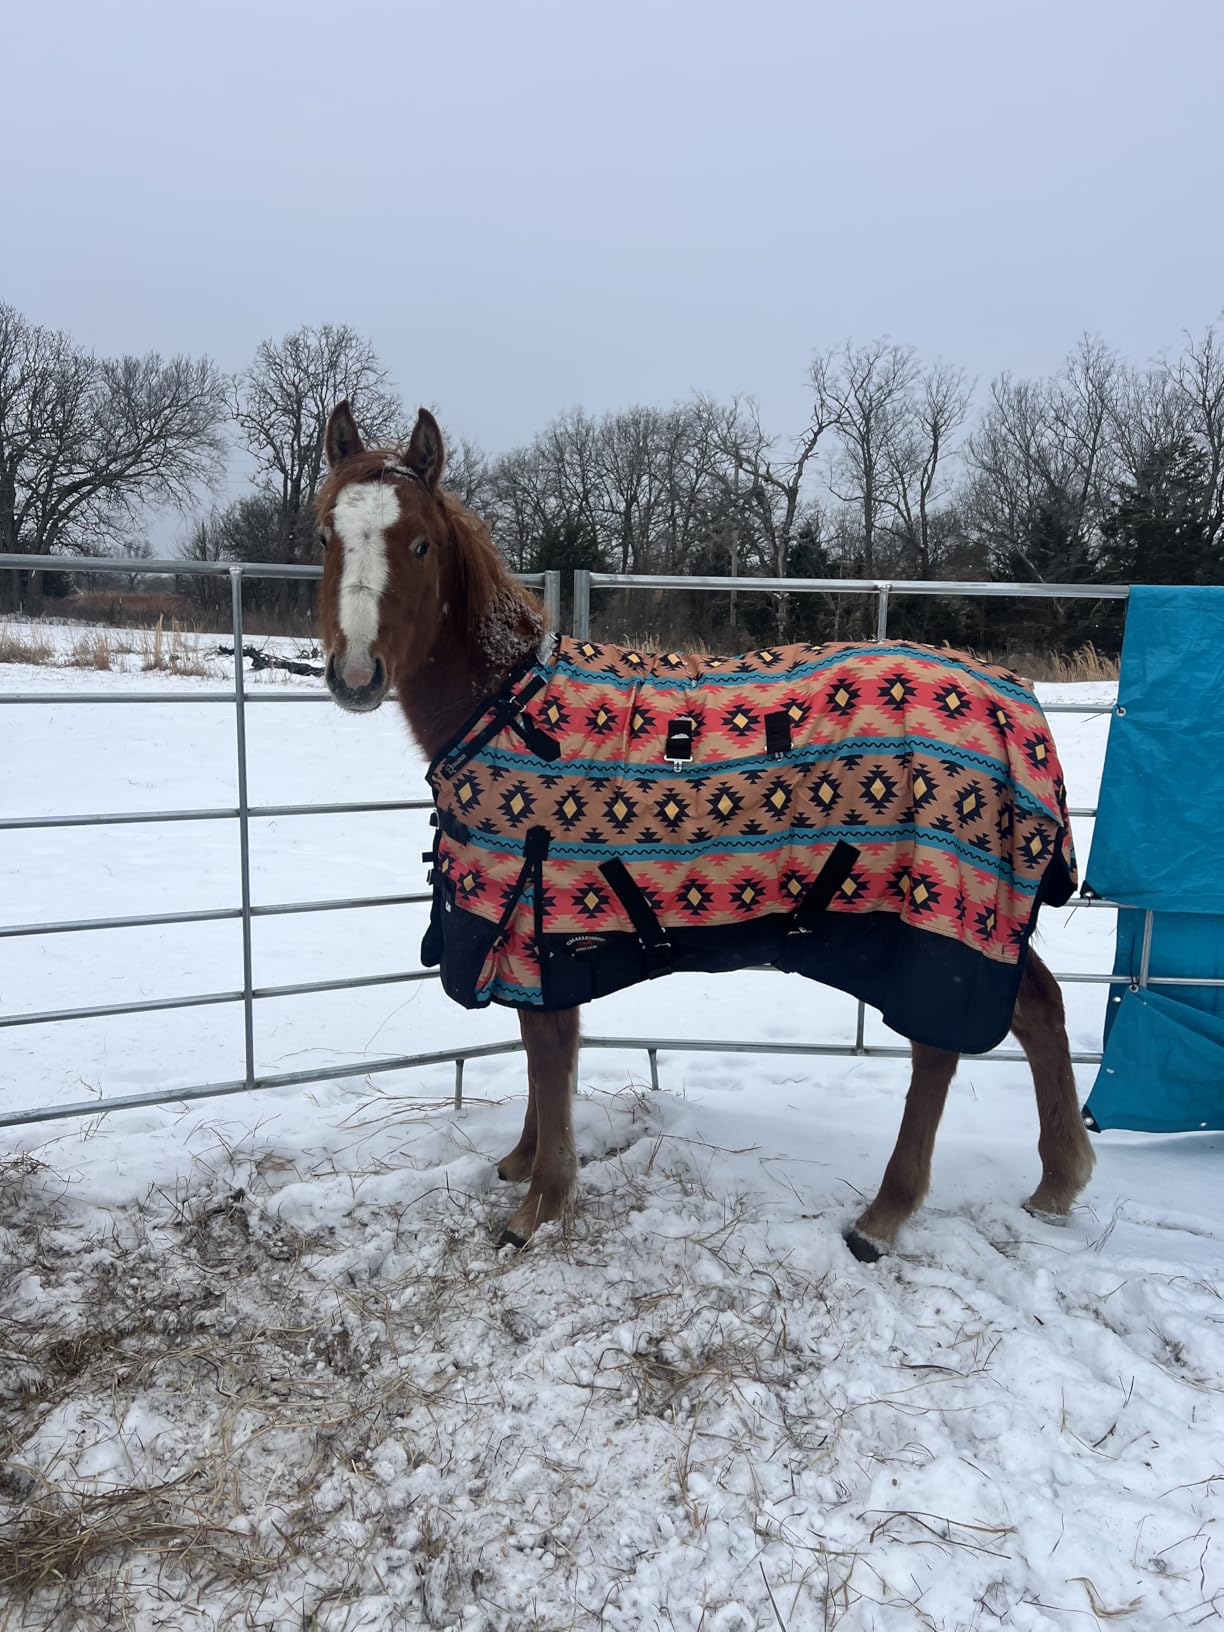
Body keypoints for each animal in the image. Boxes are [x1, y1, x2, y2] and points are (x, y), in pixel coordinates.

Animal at [315, 401, 1096, 1258]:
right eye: (325, 534)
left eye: (419, 542)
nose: (355, 674)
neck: (512, 708)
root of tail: (1011, 696)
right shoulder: (531, 939)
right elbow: (538, 1050)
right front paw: (523, 1161)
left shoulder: (534, 924)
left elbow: (548, 1055)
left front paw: (541, 1202)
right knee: (1038, 1009)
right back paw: (1057, 1183)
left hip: (944, 923)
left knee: (938, 1049)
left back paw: (884, 1216)